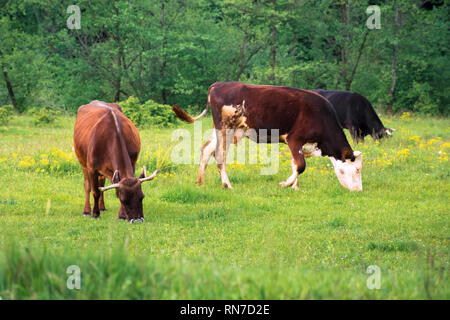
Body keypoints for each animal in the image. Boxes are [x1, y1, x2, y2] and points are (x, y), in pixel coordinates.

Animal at [172, 82, 362, 192]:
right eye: (357, 170)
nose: (358, 190)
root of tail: (218, 84)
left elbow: (294, 164)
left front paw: (295, 187)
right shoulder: (294, 139)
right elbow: (300, 165)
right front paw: (285, 184)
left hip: (221, 130)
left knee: (206, 149)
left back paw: (200, 181)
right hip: (226, 128)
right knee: (219, 155)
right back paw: (227, 184)